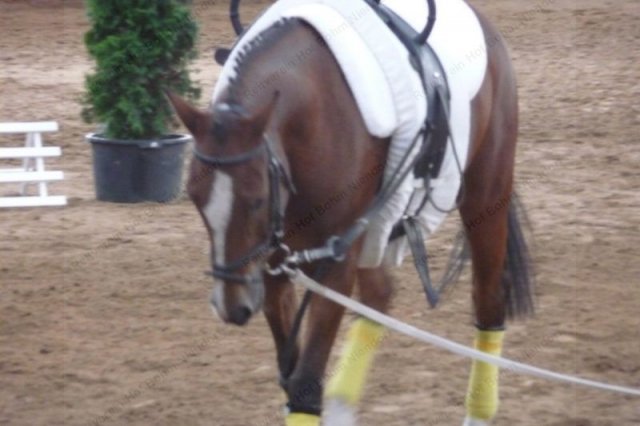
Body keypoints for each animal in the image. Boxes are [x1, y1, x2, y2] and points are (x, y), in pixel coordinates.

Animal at [168, 1, 533, 424]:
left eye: (257, 199)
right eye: (196, 198)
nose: (231, 306)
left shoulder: (334, 263)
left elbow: (305, 383)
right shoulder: (274, 260)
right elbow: (290, 374)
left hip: (485, 196)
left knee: (488, 300)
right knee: (380, 295)